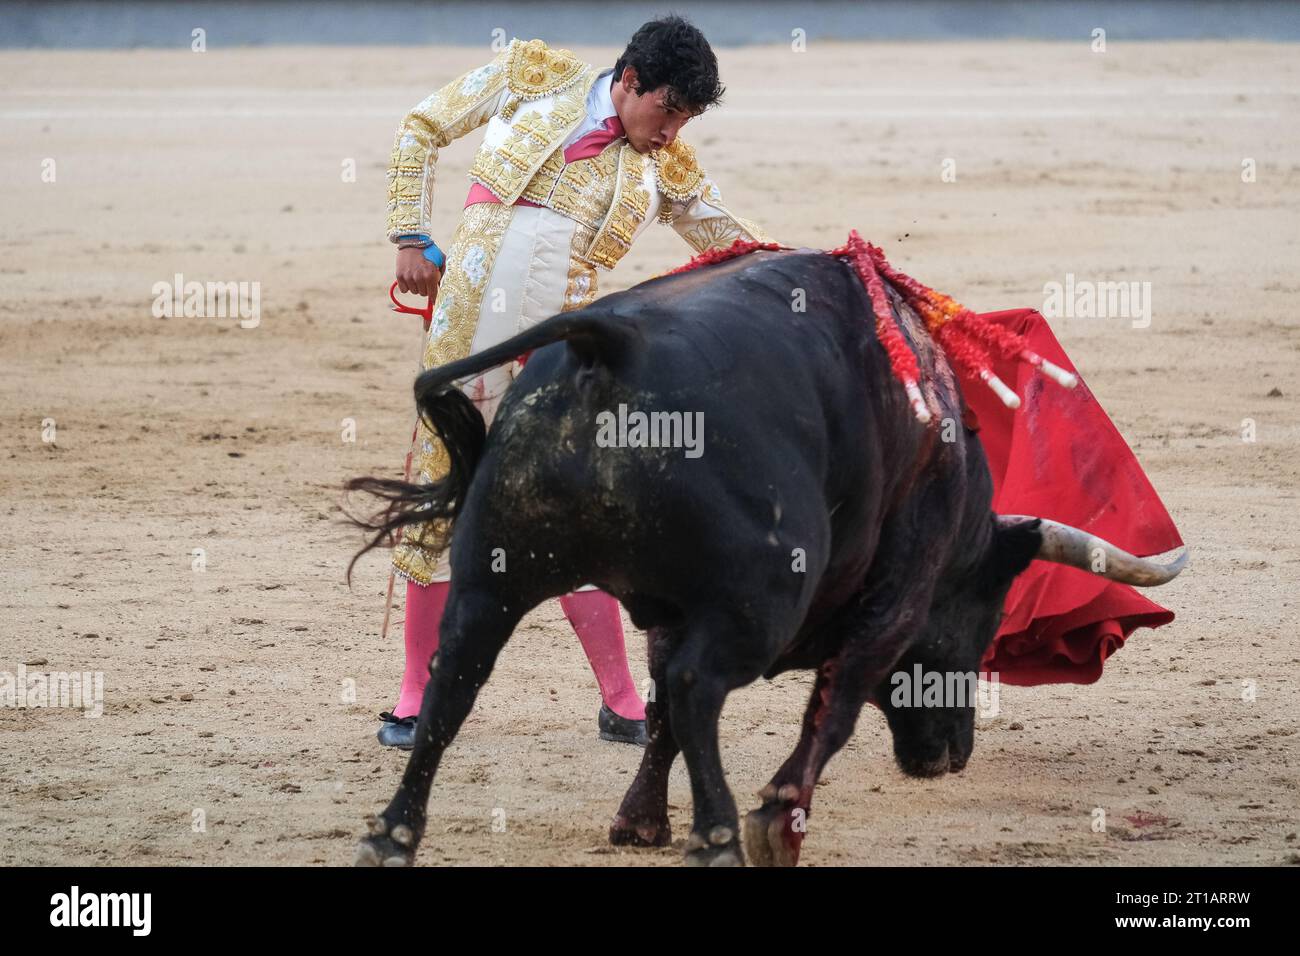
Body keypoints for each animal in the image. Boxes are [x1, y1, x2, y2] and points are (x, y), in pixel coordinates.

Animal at [345, 247, 1190, 868]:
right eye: (989, 616)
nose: (953, 754)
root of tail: (608, 347)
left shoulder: (671, 609)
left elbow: (659, 709)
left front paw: (640, 823)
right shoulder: (897, 596)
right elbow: (834, 703)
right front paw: (779, 822)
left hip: (495, 576)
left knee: (458, 676)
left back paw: (391, 838)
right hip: (762, 608)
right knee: (698, 686)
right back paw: (721, 838)